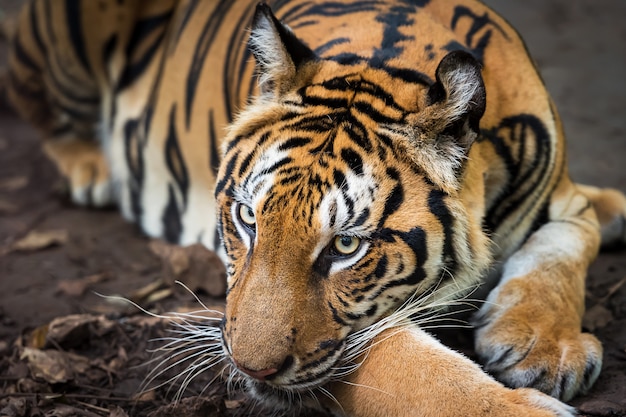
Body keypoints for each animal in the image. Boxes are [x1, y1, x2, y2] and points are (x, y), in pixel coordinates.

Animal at [4, 0, 624, 414]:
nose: (248, 367)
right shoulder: (357, 337)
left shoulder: (561, 202)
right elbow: (413, 367)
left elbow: (563, 250)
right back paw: (92, 166)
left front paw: (544, 348)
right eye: (248, 219)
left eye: (346, 245)